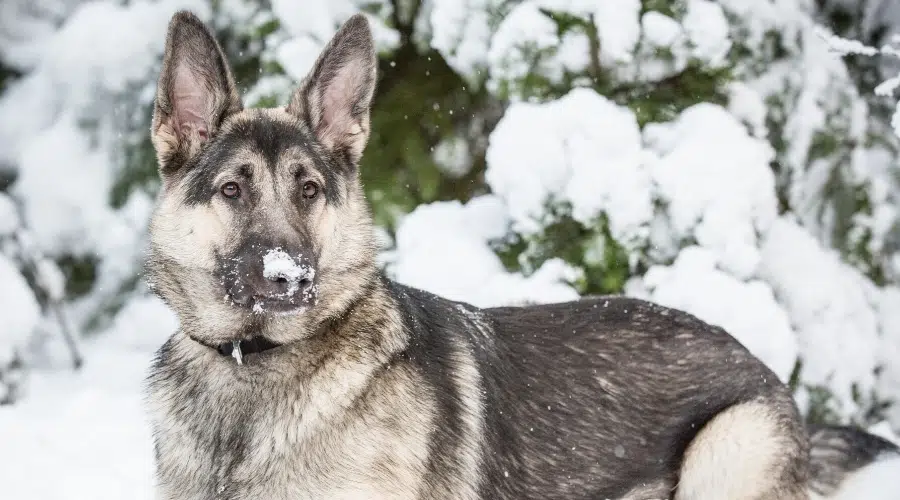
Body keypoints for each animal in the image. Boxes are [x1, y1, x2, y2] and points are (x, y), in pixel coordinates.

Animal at [148, 9, 900, 498]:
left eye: (308, 189)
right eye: (233, 189)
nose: (288, 279)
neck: (252, 365)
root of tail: (768, 371)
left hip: (724, 453)